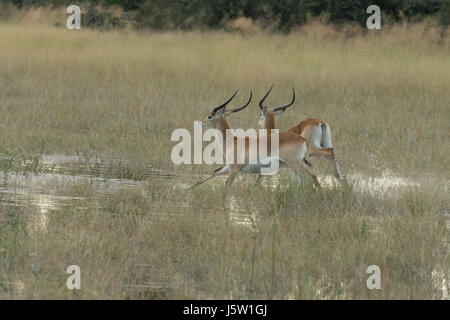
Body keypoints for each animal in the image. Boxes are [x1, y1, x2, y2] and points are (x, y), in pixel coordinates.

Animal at [192, 89, 322, 190]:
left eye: (210, 116)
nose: (201, 122)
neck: (232, 142)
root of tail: (303, 139)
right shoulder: (228, 167)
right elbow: (212, 173)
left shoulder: (234, 169)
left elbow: (226, 188)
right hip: (294, 166)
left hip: (295, 164)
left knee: (313, 177)